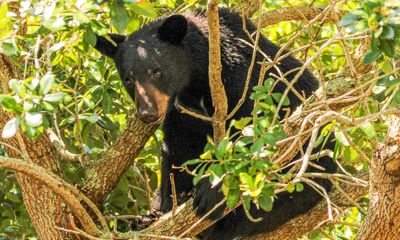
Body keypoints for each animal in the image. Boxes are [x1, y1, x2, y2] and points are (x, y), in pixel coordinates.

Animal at [94, 8, 334, 239]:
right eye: (128, 79)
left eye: (157, 71)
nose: (148, 114)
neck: (197, 80)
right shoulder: (181, 112)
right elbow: (177, 152)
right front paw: (163, 209)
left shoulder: (248, 81)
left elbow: (258, 135)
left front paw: (210, 192)